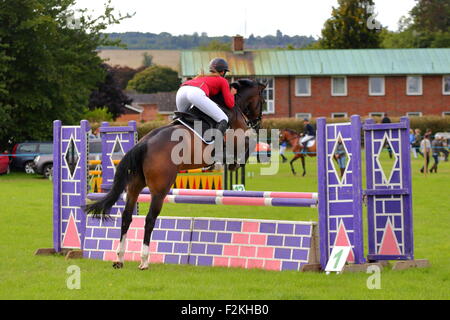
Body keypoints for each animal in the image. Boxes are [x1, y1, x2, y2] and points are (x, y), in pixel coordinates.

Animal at [85, 79, 264, 270]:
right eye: (262, 99)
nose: (258, 121)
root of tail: (143, 144)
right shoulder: (239, 136)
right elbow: (249, 141)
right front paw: (235, 162)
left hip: (134, 185)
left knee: (126, 216)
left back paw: (119, 259)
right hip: (160, 190)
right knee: (150, 219)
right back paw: (144, 261)